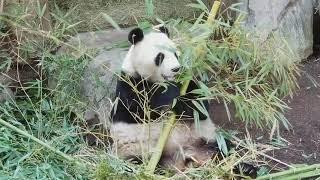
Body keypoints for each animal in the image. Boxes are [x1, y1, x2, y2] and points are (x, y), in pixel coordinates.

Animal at [109, 26, 258, 174]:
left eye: (175, 54)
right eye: (160, 56)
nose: (176, 69)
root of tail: (182, 159)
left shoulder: (188, 82)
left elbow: (199, 109)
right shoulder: (130, 84)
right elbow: (139, 111)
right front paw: (169, 92)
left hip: (204, 137)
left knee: (223, 149)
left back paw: (245, 168)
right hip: (137, 149)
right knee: (137, 162)